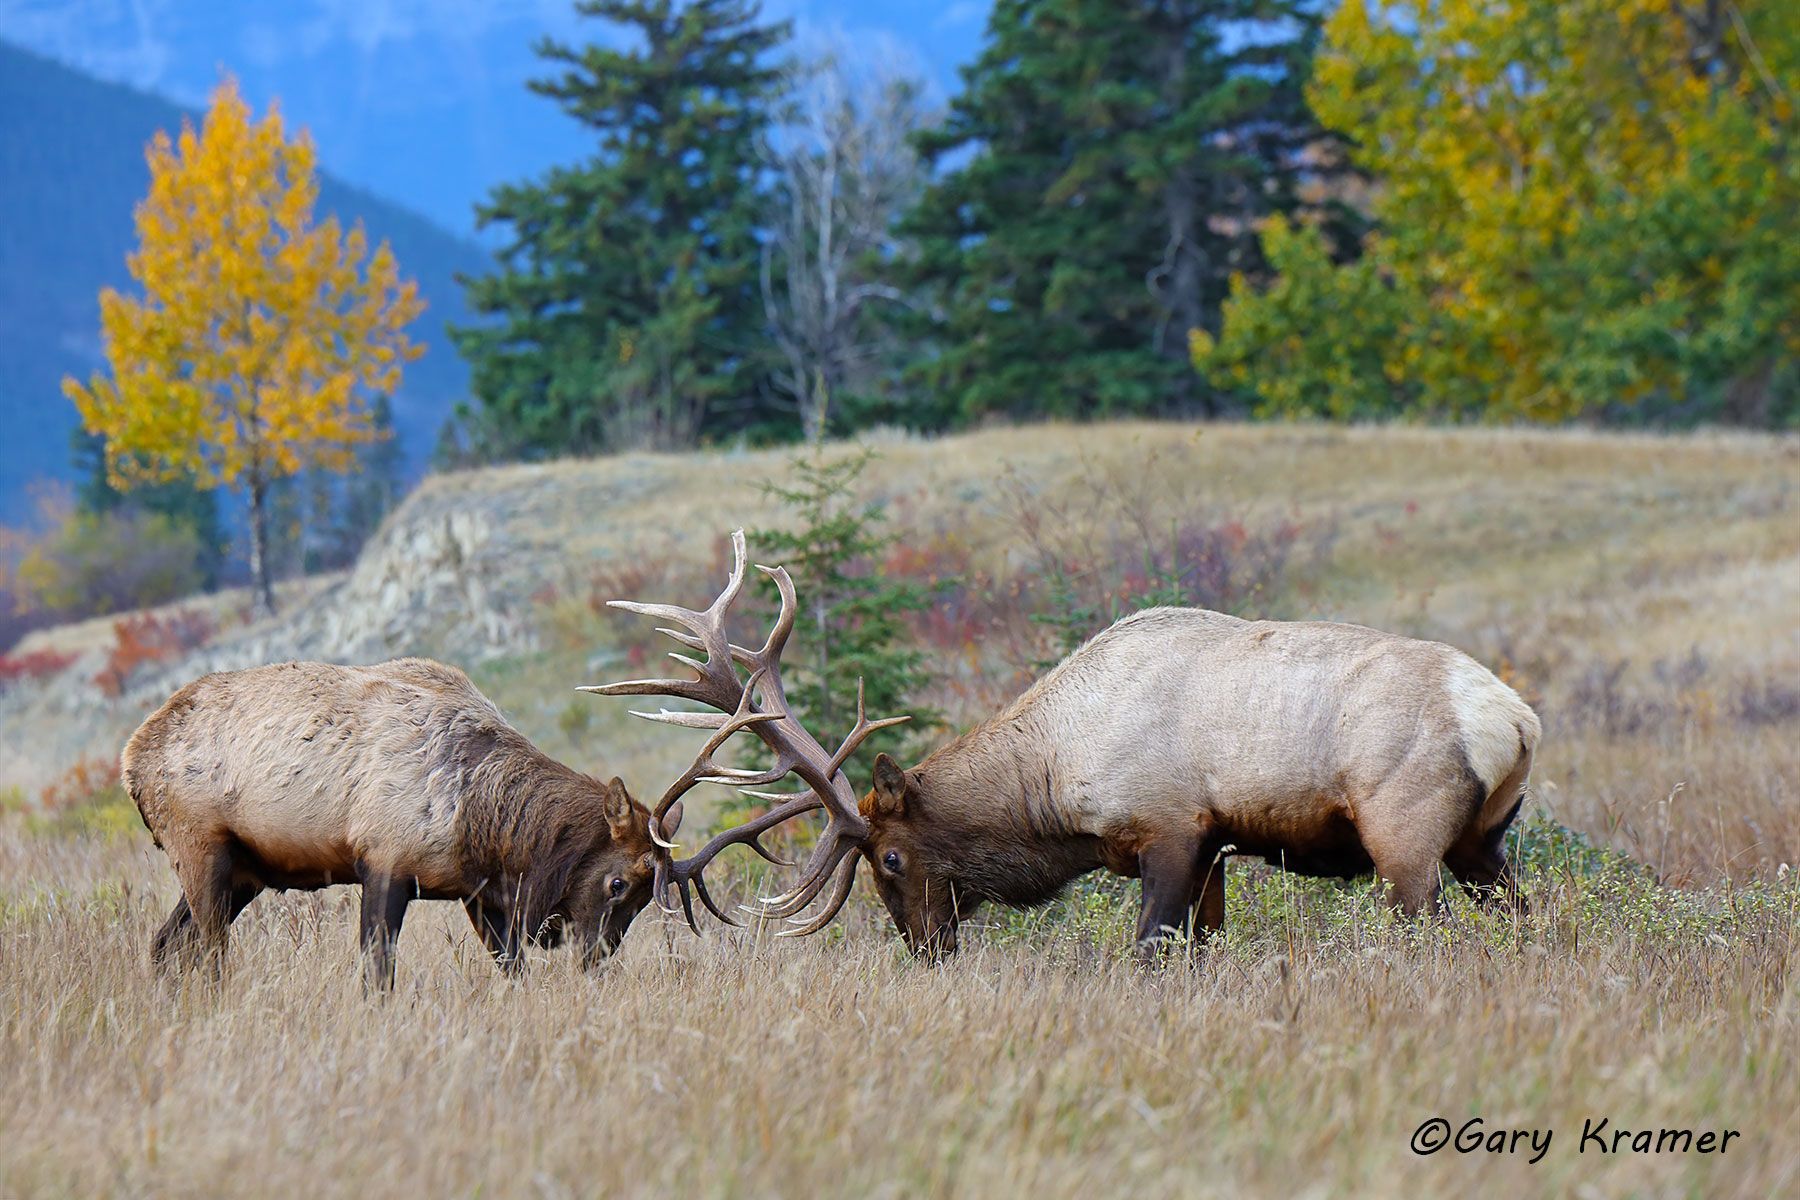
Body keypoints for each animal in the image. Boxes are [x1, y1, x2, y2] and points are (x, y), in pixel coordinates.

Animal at [122, 657, 678, 989]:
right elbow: (377, 974)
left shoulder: (477, 894)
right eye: (617, 882)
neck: (480, 819)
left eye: (644, 899)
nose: (597, 957)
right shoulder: (384, 864)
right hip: (201, 851)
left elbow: (512, 969)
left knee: (165, 944)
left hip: (244, 873)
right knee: (209, 954)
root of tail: (131, 761)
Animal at [592, 531, 1541, 962]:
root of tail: (1517, 719)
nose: (925, 948)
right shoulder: (1215, 846)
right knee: (1526, 916)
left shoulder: (1170, 829)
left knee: (1438, 929)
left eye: (892, 860)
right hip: (1484, 841)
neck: (1056, 785)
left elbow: (1152, 951)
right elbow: (1204, 947)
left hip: (1405, 836)